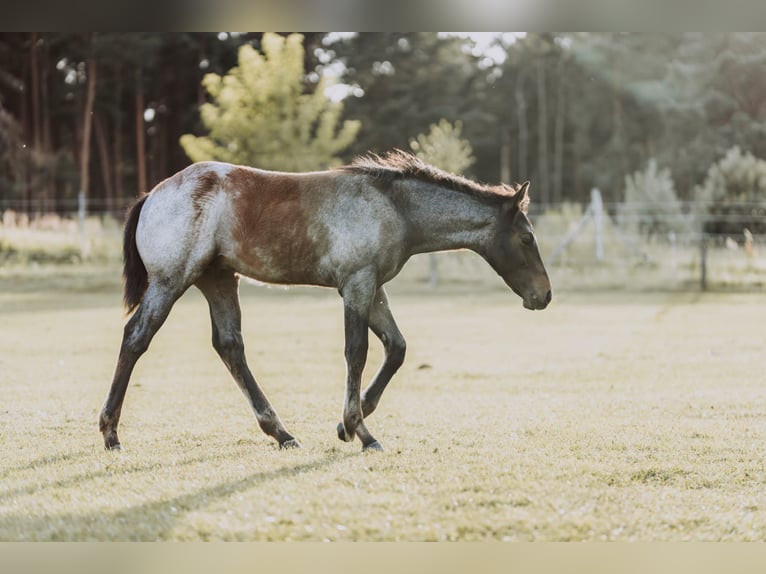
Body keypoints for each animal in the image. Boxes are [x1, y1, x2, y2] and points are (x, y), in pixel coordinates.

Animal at [99, 150, 552, 454]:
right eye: (526, 238)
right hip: (171, 281)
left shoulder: (373, 287)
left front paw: (346, 424)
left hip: (219, 280)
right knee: (136, 337)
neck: (395, 208)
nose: (544, 295)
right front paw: (361, 432)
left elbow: (396, 347)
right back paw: (111, 433)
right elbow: (357, 351)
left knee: (229, 346)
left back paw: (281, 433)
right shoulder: (356, 284)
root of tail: (151, 195)